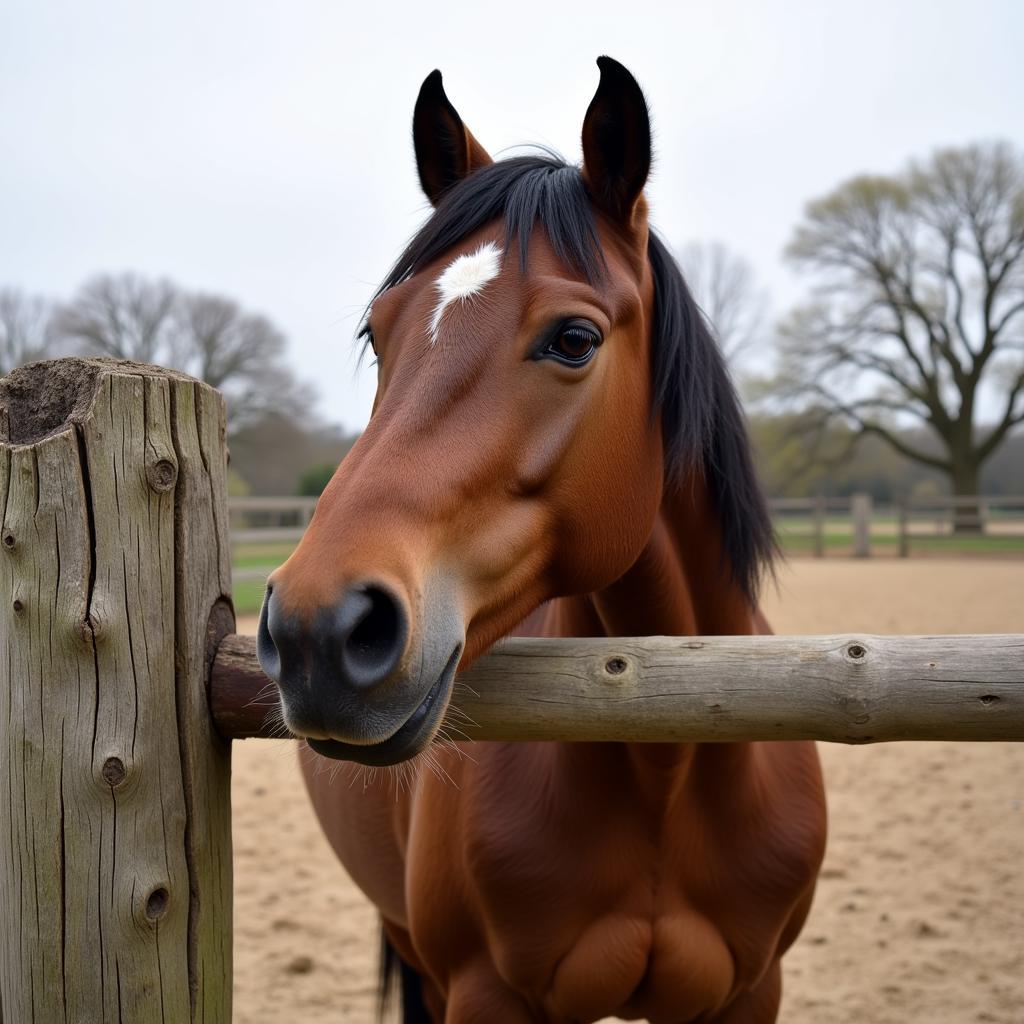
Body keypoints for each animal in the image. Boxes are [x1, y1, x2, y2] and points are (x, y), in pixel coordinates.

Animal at [260, 58, 827, 1024]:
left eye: (574, 338)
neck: (668, 753)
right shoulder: (483, 992)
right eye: (378, 331)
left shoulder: (752, 992)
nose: (317, 631)